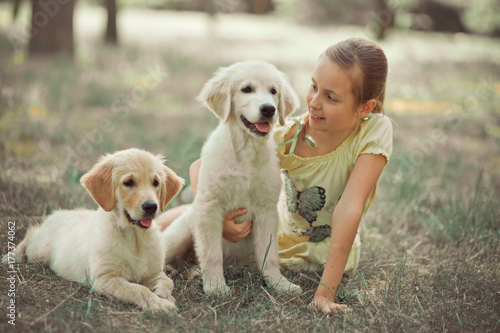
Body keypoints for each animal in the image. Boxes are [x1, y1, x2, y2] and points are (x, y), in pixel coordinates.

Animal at [1, 149, 184, 312]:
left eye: (156, 183)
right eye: (129, 182)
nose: (151, 206)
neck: (135, 238)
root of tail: (58, 214)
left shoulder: (154, 273)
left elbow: (168, 281)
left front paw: (164, 296)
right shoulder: (105, 278)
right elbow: (139, 290)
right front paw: (161, 305)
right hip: (38, 251)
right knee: (31, 234)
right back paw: (11, 256)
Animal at [164, 61, 302, 294]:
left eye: (273, 91)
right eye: (246, 89)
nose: (269, 109)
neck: (246, 151)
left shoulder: (266, 210)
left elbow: (270, 254)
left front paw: (279, 283)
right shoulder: (209, 207)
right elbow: (211, 253)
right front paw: (216, 287)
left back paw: (193, 273)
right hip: (178, 235)